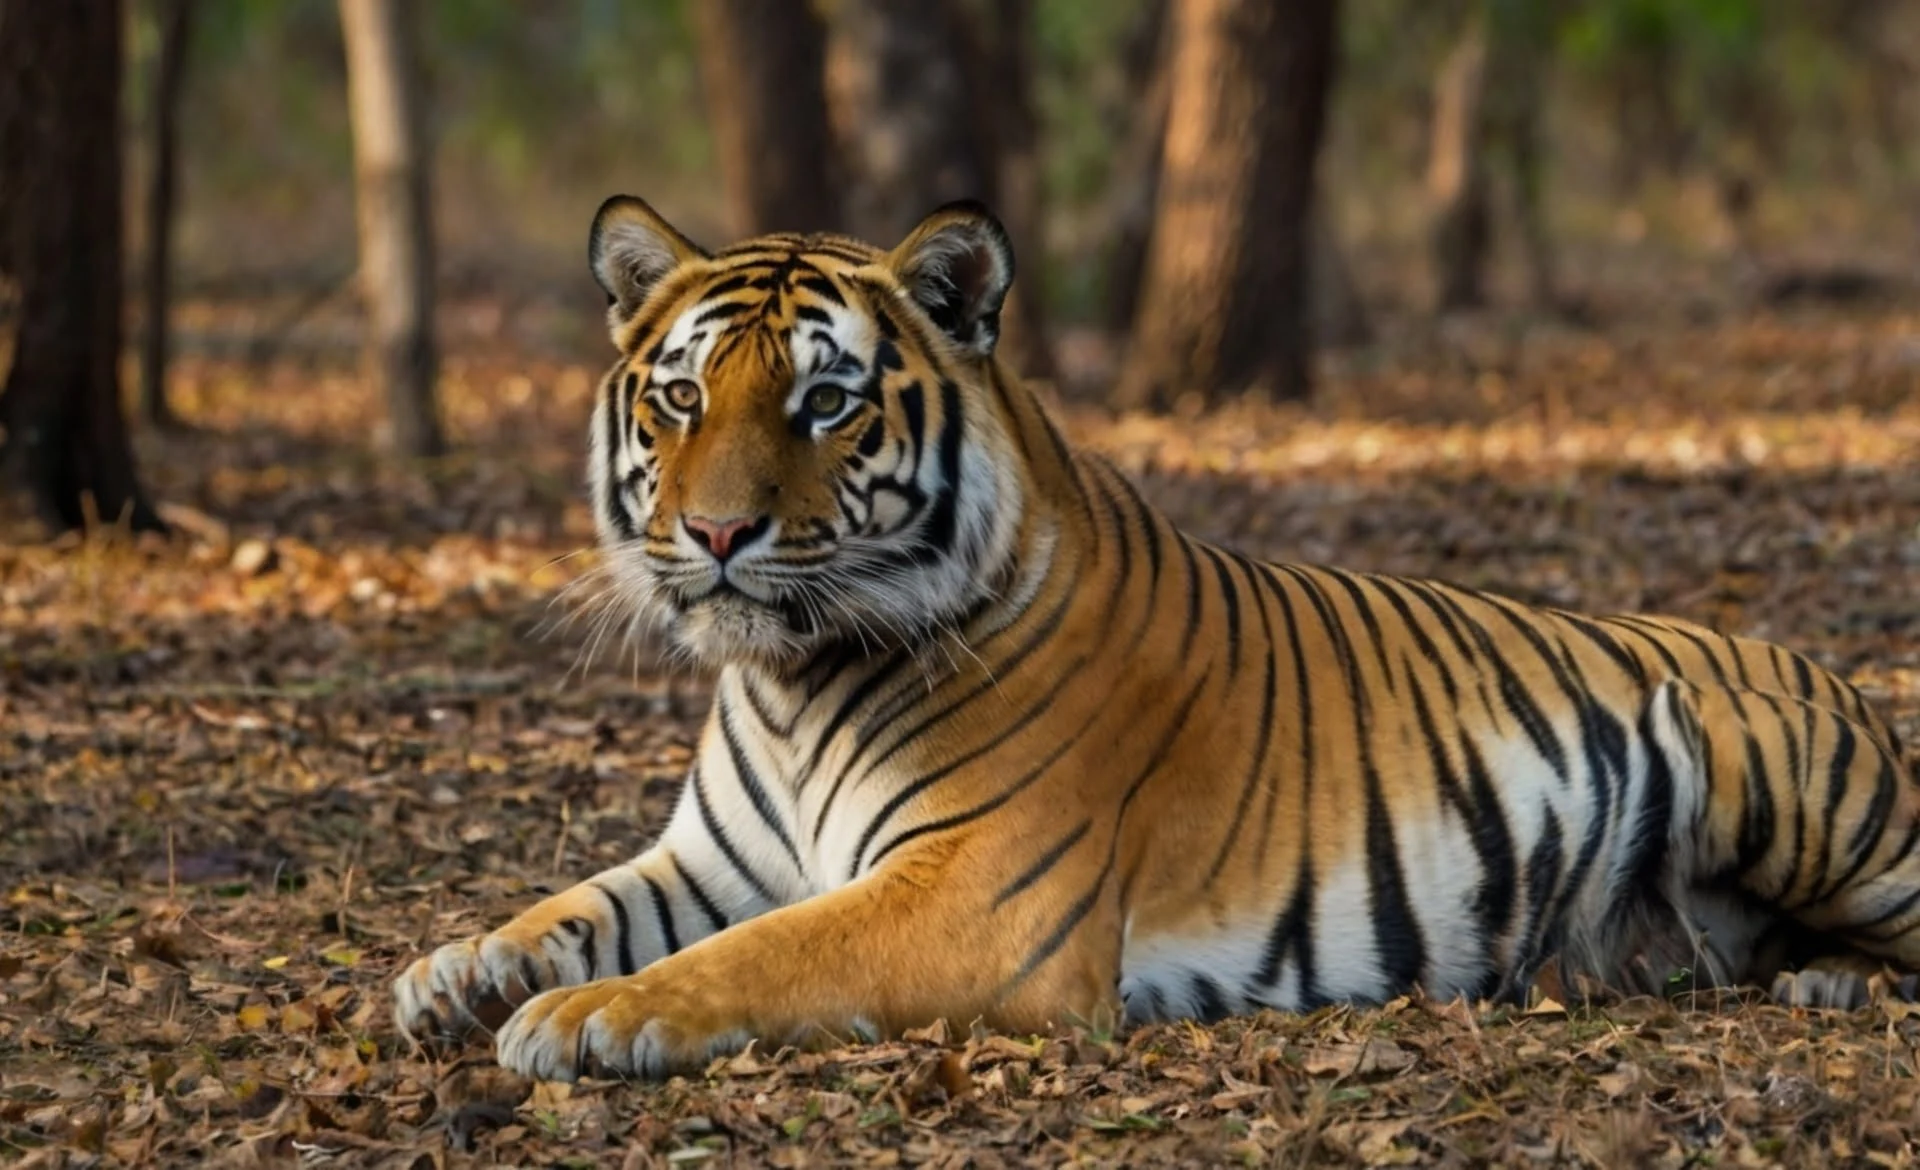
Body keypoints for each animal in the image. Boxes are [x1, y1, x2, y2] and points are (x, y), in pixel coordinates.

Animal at [389, 192, 1920, 1075]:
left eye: (825, 403)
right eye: (681, 398)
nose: (714, 536)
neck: (786, 683)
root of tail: (1824, 670)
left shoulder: (975, 894)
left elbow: (754, 958)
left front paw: (579, 1021)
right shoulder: (714, 861)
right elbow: (574, 910)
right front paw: (450, 976)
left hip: (1791, 783)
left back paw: (1833, 990)